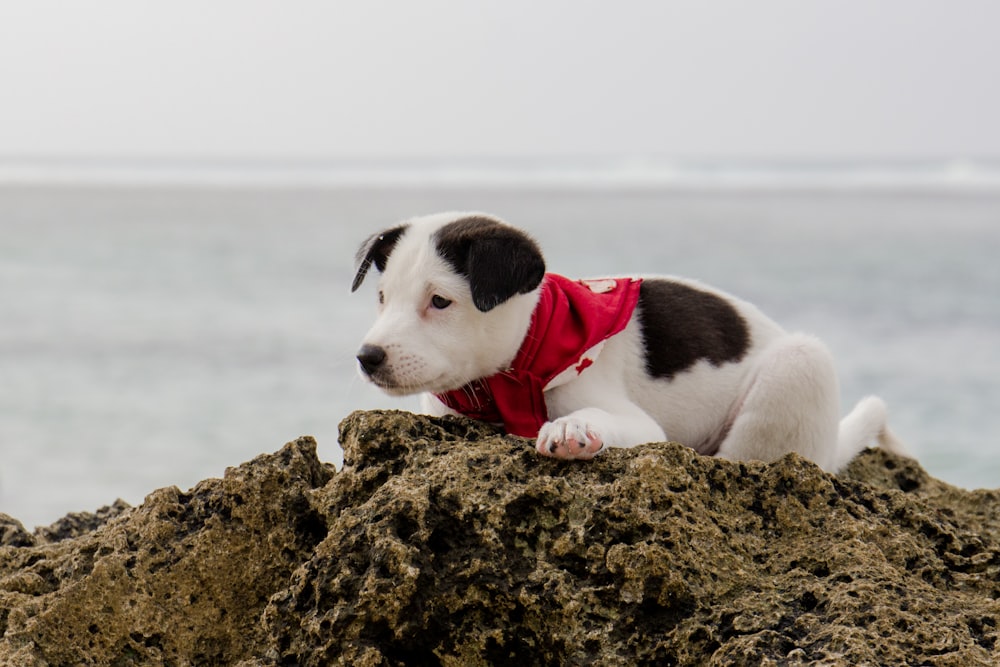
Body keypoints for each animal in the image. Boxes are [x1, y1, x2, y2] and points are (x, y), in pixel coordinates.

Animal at [352, 211, 908, 472]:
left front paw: (572, 429)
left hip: (798, 366)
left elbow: (596, 418)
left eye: (439, 302)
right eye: (381, 297)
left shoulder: (637, 424)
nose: (367, 358)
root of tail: (832, 445)